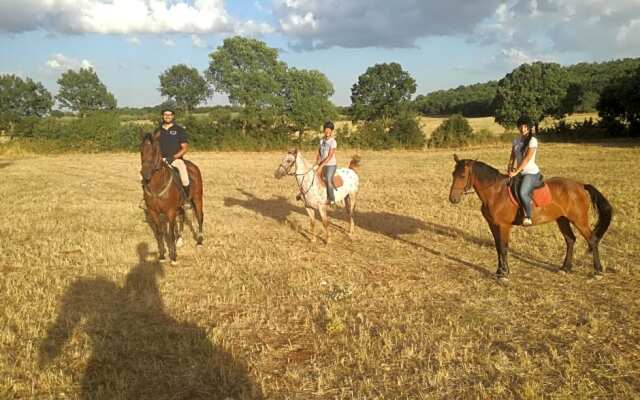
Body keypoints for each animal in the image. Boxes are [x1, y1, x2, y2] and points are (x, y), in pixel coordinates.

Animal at [139, 130, 204, 264]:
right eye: (141, 149)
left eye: (155, 150)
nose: (145, 173)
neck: (157, 185)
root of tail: (193, 166)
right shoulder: (153, 212)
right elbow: (160, 233)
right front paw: (162, 256)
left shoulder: (170, 211)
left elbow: (170, 234)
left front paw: (173, 257)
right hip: (180, 206)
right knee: (182, 217)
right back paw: (180, 240)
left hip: (197, 198)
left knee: (200, 217)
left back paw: (199, 242)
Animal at [448, 155, 612, 280]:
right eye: (453, 174)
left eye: (462, 175)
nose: (453, 199)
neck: (495, 192)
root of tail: (580, 185)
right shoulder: (493, 225)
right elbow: (498, 247)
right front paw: (499, 271)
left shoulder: (504, 226)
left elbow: (503, 248)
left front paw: (504, 274)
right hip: (562, 219)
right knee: (570, 240)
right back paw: (565, 268)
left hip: (579, 220)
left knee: (592, 240)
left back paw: (597, 272)